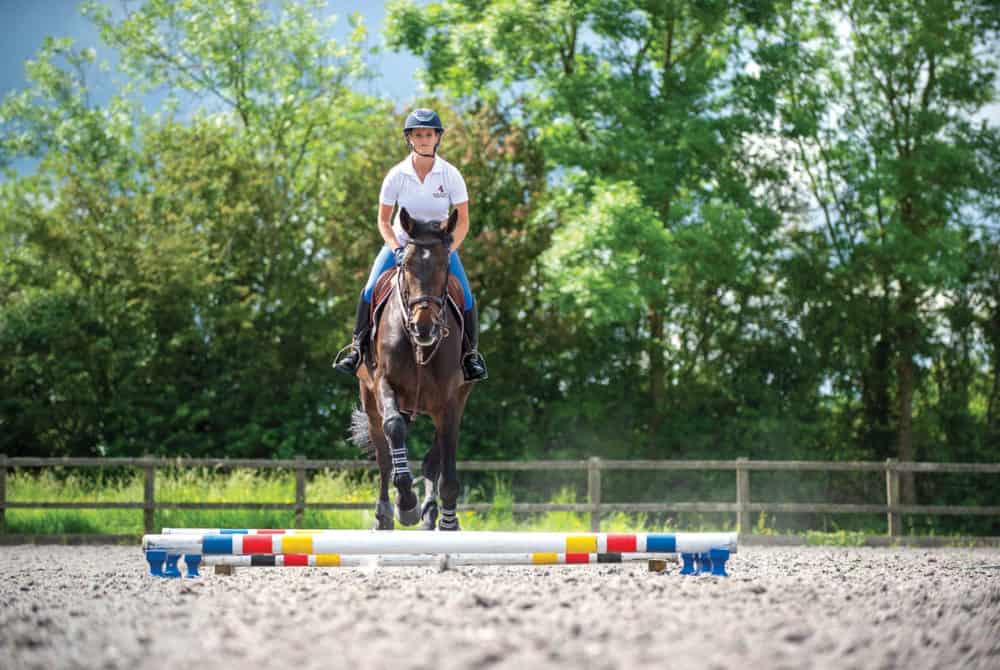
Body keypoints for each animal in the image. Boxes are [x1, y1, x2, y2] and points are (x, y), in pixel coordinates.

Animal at [350, 207, 474, 532]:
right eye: (405, 265)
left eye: (445, 265)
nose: (424, 326)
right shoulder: (384, 383)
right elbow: (394, 429)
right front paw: (406, 503)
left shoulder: (450, 401)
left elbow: (445, 465)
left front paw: (448, 522)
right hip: (370, 398)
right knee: (383, 454)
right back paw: (384, 515)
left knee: (432, 458)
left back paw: (431, 515)